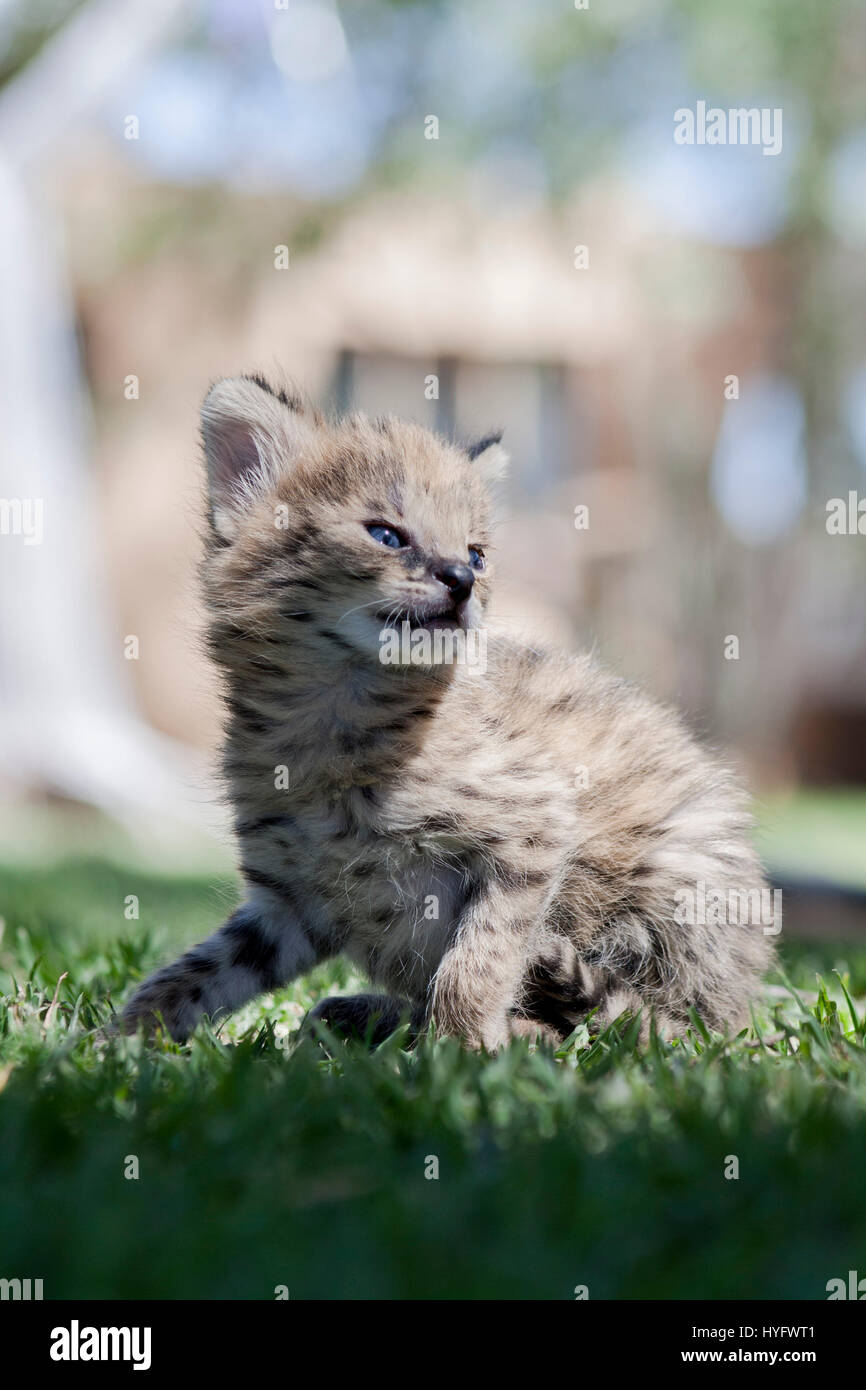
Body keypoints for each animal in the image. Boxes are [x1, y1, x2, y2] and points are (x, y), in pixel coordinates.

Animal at [120, 373, 774, 1049]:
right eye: (386, 535)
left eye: (477, 554)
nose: (461, 578)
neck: (333, 710)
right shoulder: (291, 899)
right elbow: (195, 972)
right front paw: (117, 1039)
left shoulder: (535, 828)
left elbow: (480, 956)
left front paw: (459, 1049)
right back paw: (369, 1015)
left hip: (682, 873)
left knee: (677, 1026)